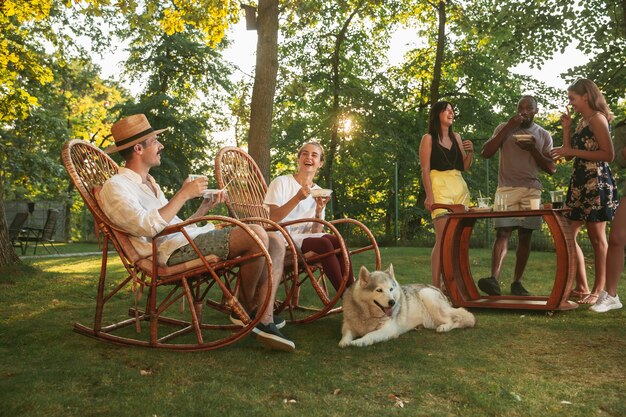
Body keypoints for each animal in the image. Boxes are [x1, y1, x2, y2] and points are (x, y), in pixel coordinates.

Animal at [338, 264, 476, 346]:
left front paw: (358, 342)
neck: (367, 315)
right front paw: (344, 342)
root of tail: (438, 289)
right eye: (379, 290)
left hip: (427, 296)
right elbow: (346, 334)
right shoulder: (348, 325)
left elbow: (370, 335)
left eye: (391, 289)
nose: (392, 302)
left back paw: (444, 327)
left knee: (455, 319)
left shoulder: (388, 329)